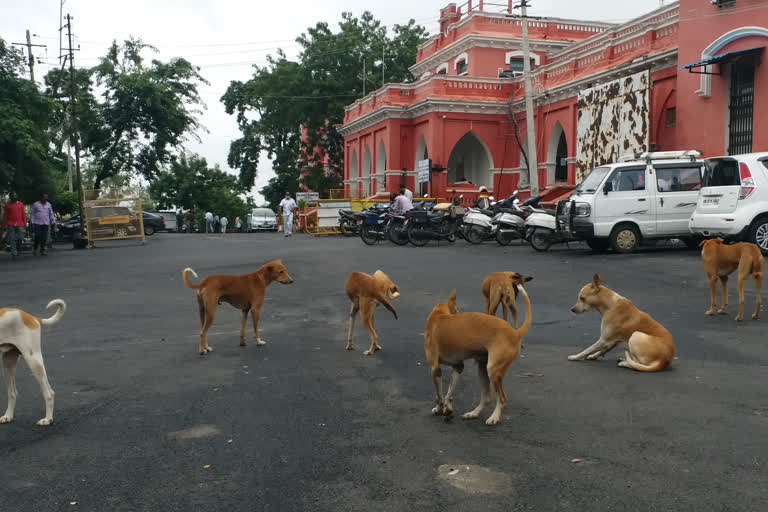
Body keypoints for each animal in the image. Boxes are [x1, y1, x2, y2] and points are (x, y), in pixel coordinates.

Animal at [0, 298, 65, 426]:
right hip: (7, 364)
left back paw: (47, 419)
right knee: (12, 393)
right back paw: (8, 416)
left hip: (33, 361)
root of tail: (30, 317)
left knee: (49, 393)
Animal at [424, 278, 532, 426]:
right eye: (457, 310)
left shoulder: (435, 369)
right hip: (482, 369)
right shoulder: (458, 367)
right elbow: (449, 393)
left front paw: (439, 408)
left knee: (502, 398)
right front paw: (448, 408)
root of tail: (515, 333)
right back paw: (473, 413)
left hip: (493, 370)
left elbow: (439, 395)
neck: (439, 314)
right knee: (486, 398)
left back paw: (494, 417)